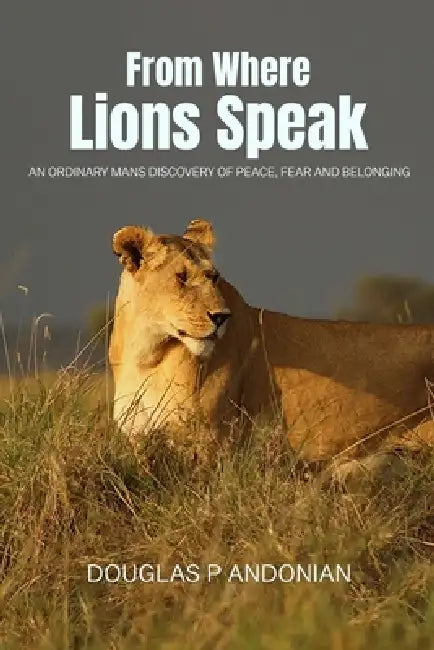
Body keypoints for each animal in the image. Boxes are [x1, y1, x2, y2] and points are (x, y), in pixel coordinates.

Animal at [109, 218, 434, 464]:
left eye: (213, 277)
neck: (146, 352)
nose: (221, 317)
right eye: (181, 277)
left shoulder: (209, 441)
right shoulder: (137, 436)